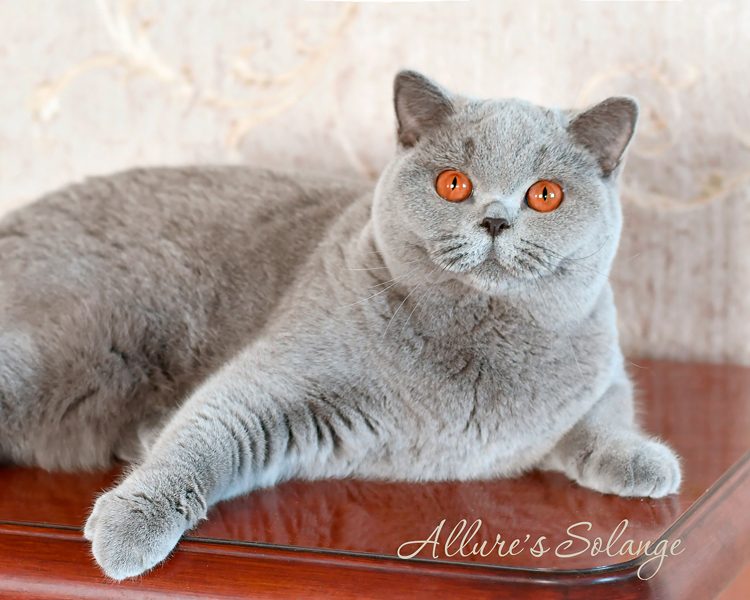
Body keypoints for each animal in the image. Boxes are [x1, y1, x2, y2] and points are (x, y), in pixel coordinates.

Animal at [0, 70, 680, 580]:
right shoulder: (277, 379)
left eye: (545, 195)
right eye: (453, 184)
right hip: (59, 351)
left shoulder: (599, 369)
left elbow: (607, 415)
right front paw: (128, 526)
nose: (493, 220)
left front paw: (645, 461)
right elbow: (206, 433)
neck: (483, 346)